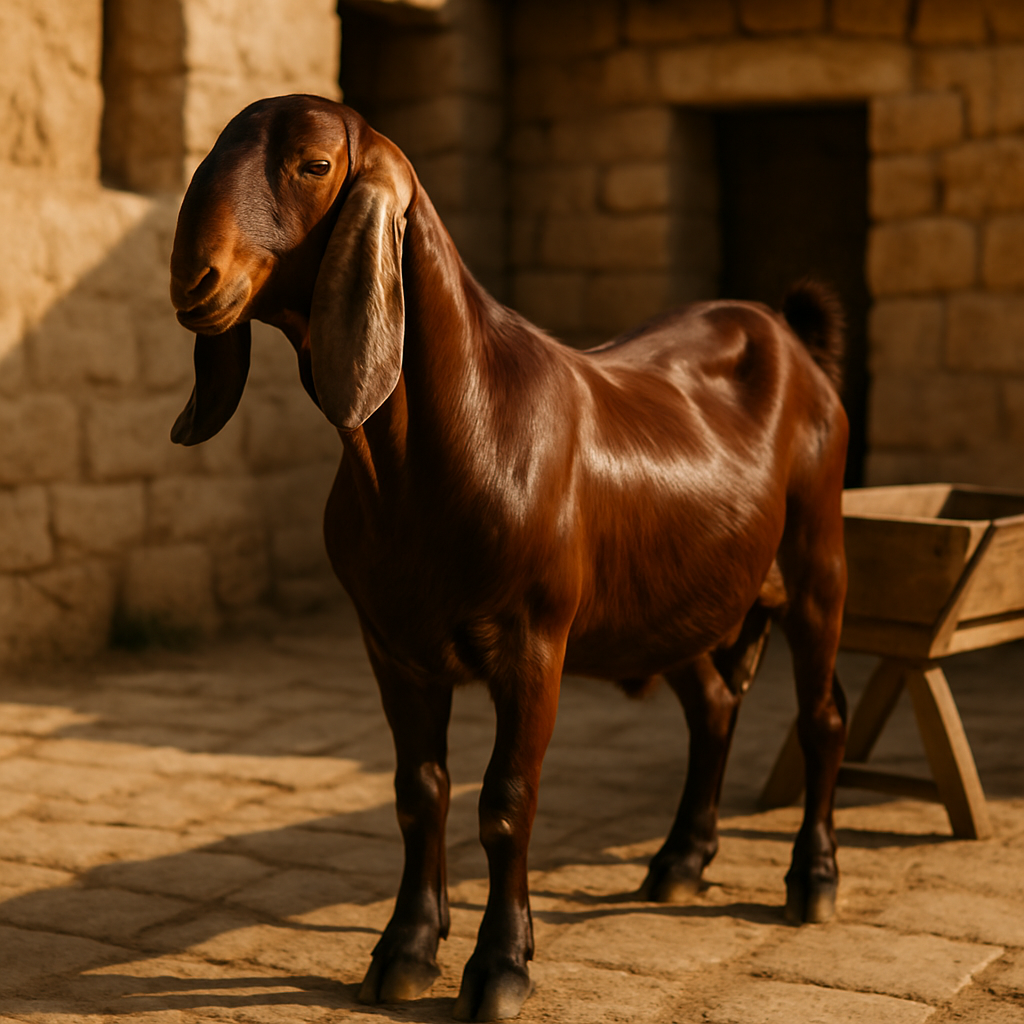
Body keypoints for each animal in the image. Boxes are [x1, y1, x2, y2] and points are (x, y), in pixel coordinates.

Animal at [169, 95, 848, 1023]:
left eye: (312, 165)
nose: (192, 282)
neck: (449, 432)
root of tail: (786, 332)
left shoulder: (533, 644)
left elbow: (506, 802)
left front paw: (499, 967)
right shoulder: (393, 646)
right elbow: (418, 791)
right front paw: (405, 950)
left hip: (818, 558)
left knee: (821, 715)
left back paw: (812, 879)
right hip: (671, 600)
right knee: (712, 707)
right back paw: (680, 861)